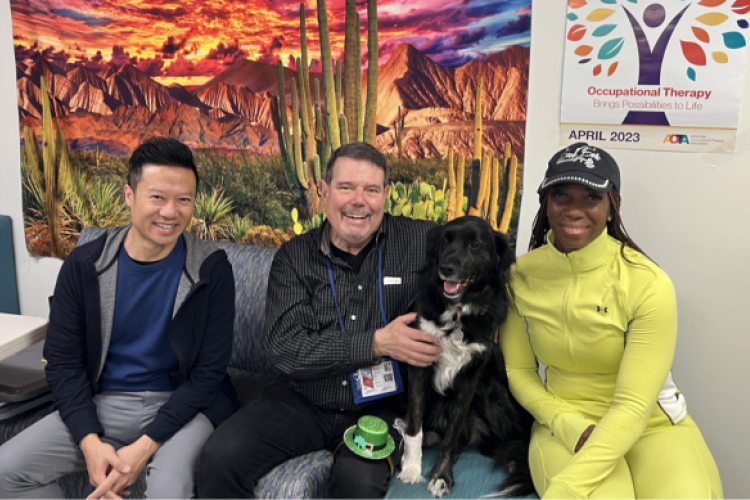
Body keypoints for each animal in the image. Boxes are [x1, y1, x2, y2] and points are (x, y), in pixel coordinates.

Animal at [396, 217, 536, 498]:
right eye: (444, 241)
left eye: (474, 245)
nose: (446, 268)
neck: (458, 312)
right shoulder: (419, 362)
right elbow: (416, 424)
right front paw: (412, 468)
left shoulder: (471, 378)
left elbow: (452, 434)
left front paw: (441, 476)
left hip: (492, 396)